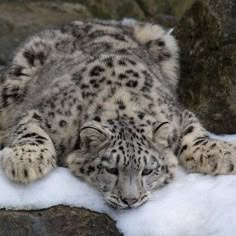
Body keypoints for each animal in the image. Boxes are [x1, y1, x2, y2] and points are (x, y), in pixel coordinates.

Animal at [0, 20, 236, 208]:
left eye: (147, 171)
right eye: (112, 169)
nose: (130, 200)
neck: (122, 104)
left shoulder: (178, 115)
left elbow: (195, 134)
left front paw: (226, 152)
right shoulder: (44, 114)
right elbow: (31, 131)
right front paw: (26, 162)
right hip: (18, 75)